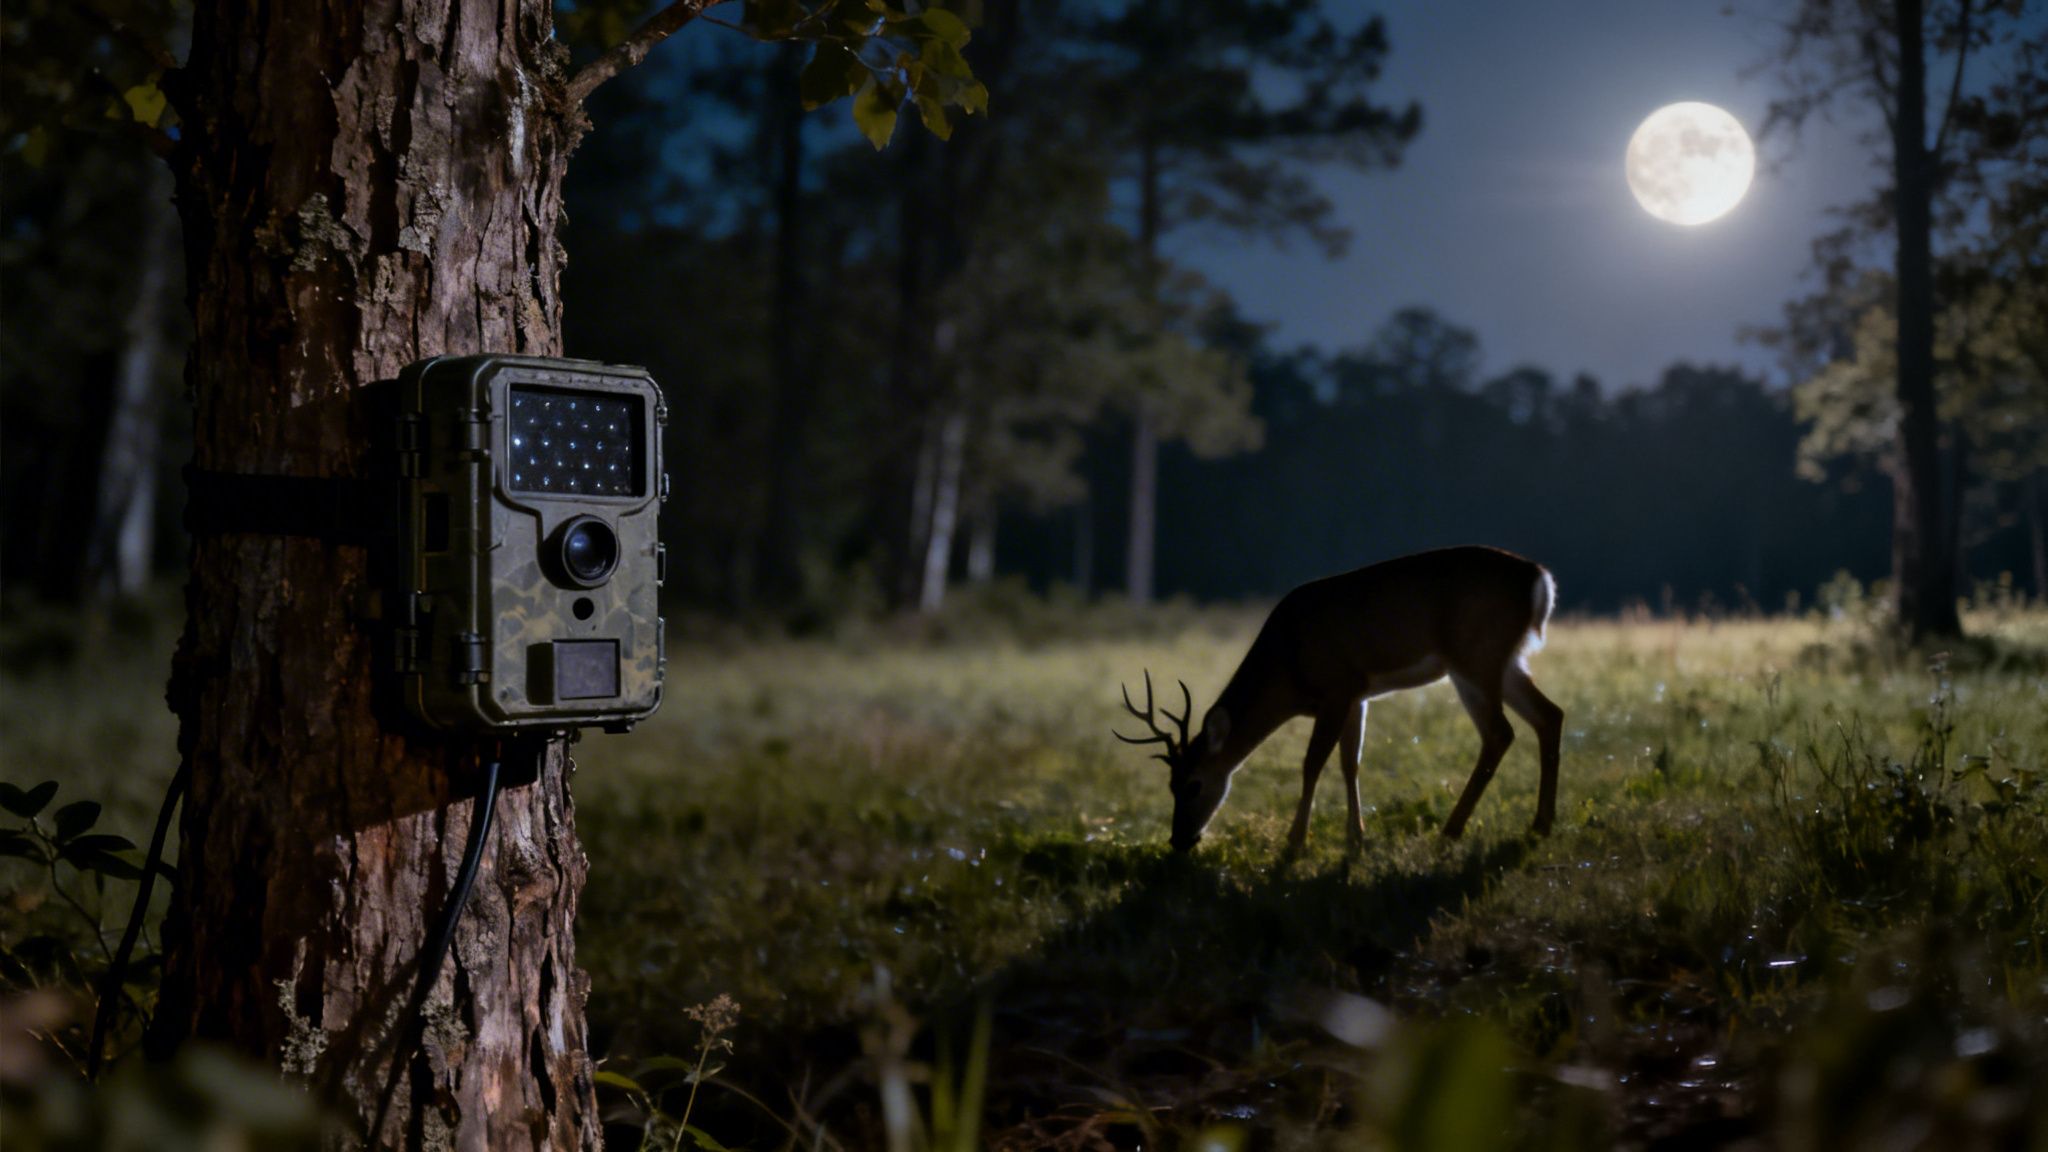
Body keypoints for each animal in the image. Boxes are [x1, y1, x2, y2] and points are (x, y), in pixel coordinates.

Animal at [1116, 545, 1563, 854]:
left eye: (1193, 784)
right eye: (1169, 784)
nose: (1178, 841)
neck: (1288, 663)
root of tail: (1538, 577)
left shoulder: (1337, 688)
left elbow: (1313, 762)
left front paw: (1295, 841)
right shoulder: (1357, 696)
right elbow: (1351, 763)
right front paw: (1355, 838)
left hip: (1474, 658)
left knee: (1499, 733)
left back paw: (1452, 830)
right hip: (1504, 661)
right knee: (1549, 715)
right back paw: (1539, 825)